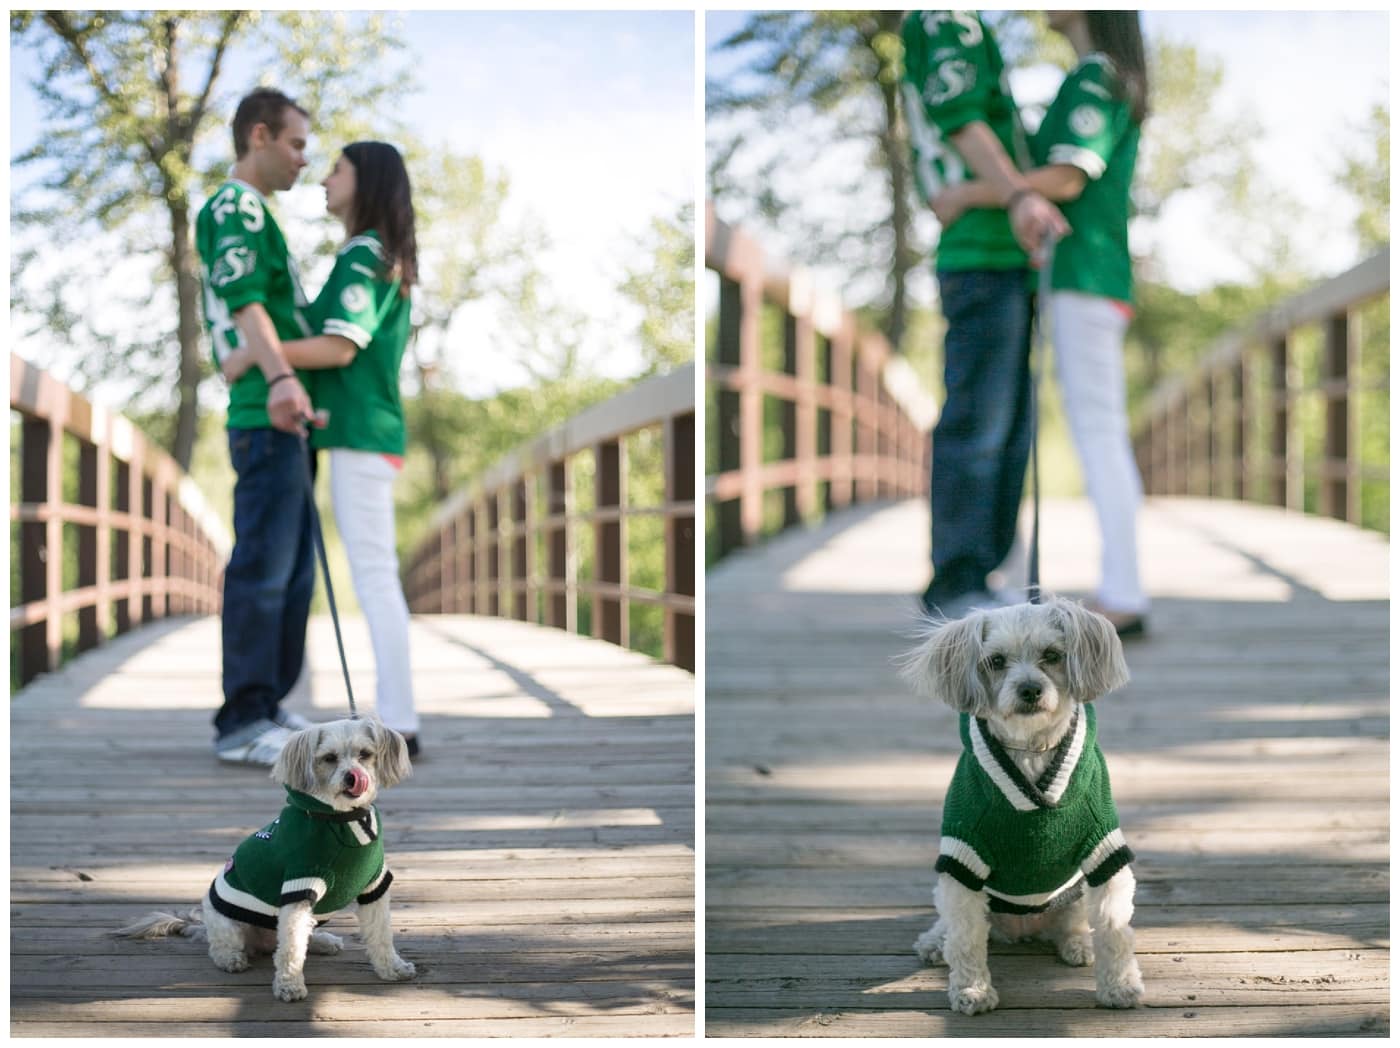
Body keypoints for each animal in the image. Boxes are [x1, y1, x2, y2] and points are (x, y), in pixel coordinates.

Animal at [118, 716, 414, 1001]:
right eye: (329, 758)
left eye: (365, 754)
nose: (354, 777)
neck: (344, 820)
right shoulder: (299, 888)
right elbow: (291, 950)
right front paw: (289, 986)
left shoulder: (374, 887)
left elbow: (381, 935)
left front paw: (393, 968)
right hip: (228, 923)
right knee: (226, 947)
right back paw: (232, 959)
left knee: (291, 940)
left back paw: (322, 941)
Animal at [901, 596, 1142, 1013]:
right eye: (996, 661)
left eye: (1053, 655)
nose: (1030, 689)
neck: (1030, 750)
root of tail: (1023, 930)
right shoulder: (964, 859)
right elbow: (965, 940)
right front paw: (972, 991)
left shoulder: (1104, 854)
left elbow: (1114, 931)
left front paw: (1120, 987)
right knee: (949, 926)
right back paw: (934, 943)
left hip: (1074, 894)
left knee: (1073, 921)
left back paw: (1078, 943)